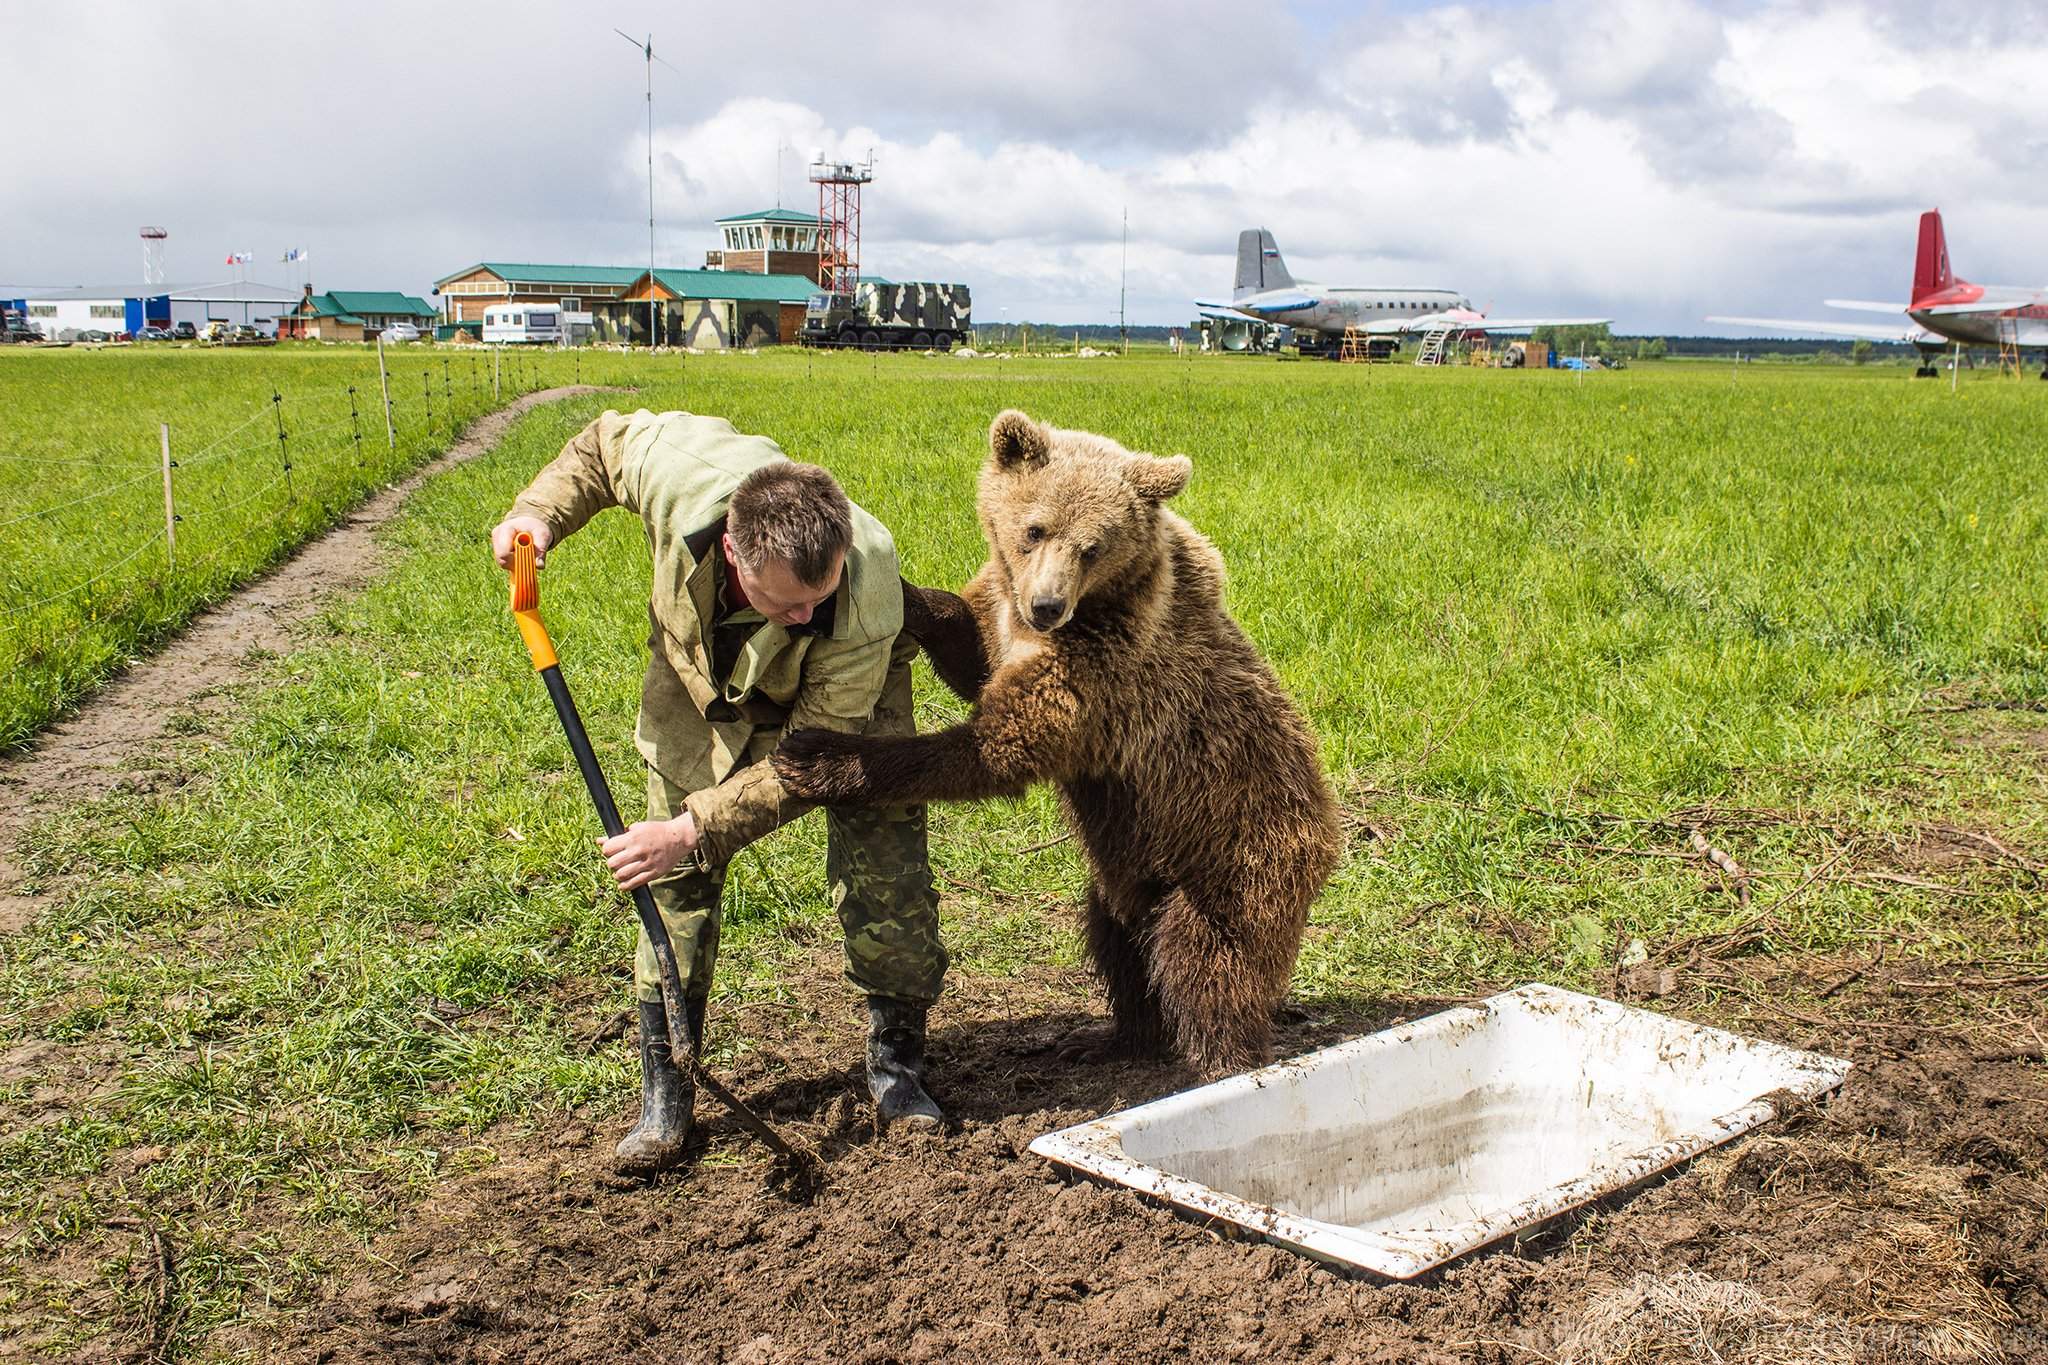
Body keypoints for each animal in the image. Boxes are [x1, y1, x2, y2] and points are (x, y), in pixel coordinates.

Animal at [770, 411, 1343, 1072]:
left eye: (1093, 546)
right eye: (1034, 528)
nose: (1047, 604)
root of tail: (1328, 836)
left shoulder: (1098, 672)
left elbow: (992, 747)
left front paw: (818, 757)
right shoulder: (1005, 620)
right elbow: (969, 647)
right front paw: (902, 594)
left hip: (1237, 858)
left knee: (1203, 963)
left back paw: (1220, 1058)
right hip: (1131, 868)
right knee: (1117, 944)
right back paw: (1114, 1038)